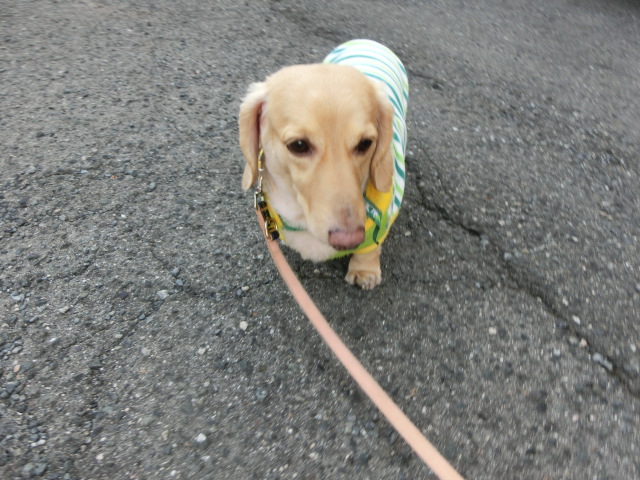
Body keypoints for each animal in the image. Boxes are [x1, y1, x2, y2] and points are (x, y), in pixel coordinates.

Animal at [239, 39, 408, 289]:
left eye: (366, 143)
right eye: (298, 145)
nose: (349, 239)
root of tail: (367, 41)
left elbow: (371, 247)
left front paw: (364, 270)